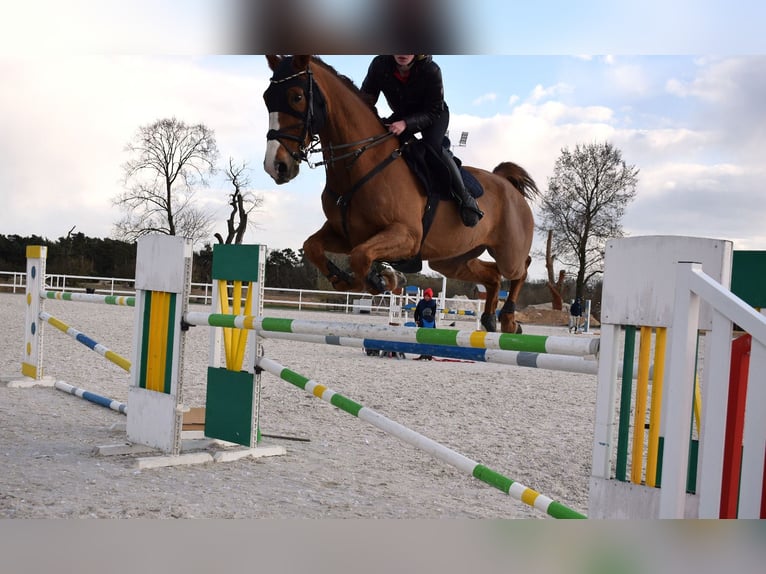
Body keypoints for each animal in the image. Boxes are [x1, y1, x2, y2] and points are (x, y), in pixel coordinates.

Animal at [262, 55, 539, 333]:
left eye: (296, 97)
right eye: (266, 98)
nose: (276, 166)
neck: (360, 163)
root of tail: (507, 184)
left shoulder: (407, 236)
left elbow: (360, 256)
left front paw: (382, 279)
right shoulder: (345, 234)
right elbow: (313, 247)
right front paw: (349, 280)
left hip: (508, 253)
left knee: (521, 269)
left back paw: (509, 319)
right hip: (451, 260)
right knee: (492, 275)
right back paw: (490, 318)